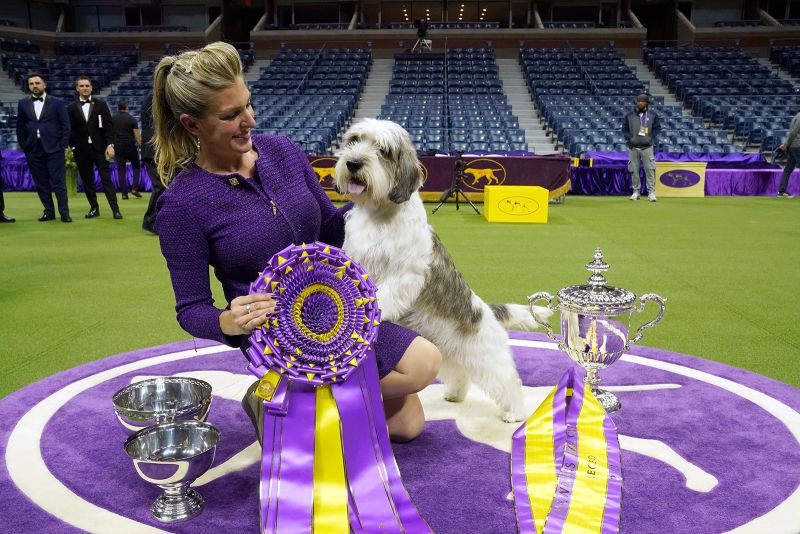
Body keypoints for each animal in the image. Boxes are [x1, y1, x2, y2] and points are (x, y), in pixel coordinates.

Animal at [334, 120, 548, 422]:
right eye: (354, 140)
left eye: (383, 150)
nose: (352, 163)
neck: (379, 215)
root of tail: (485, 309)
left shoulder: (405, 274)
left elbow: (384, 295)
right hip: (446, 349)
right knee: (460, 373)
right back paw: (456, 394)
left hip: (485, 354)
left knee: (508, 381)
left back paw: (515, 413)